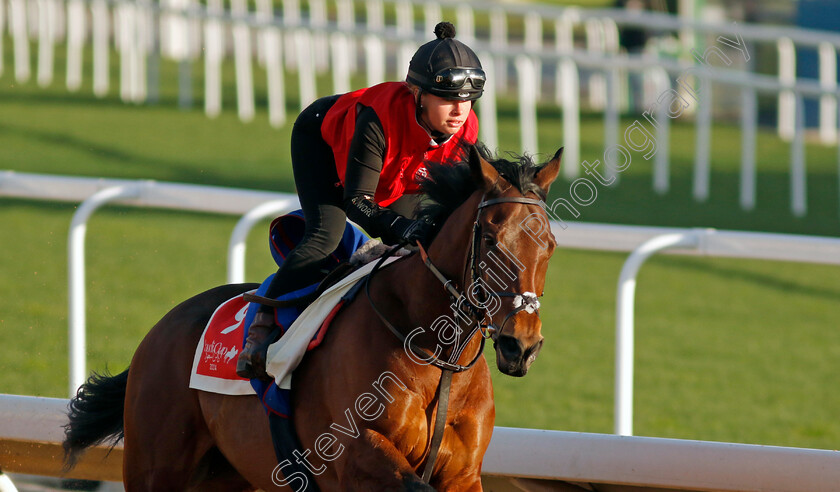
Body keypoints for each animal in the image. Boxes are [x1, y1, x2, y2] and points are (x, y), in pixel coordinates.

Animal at [62, 144, 560, 490]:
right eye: (491, 239)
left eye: (551, 244)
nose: (521, 345)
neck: (438, 353)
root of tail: (162, 327)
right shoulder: (359, 459)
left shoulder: (463, 473)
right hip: (156, 467)